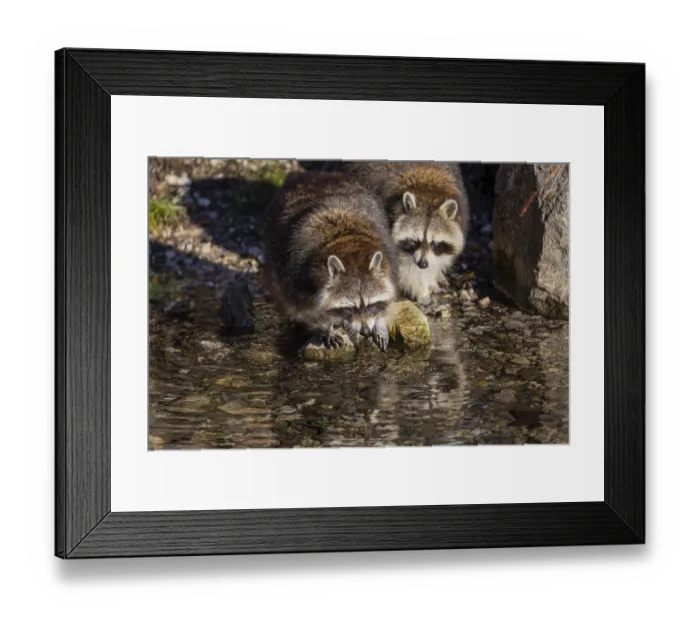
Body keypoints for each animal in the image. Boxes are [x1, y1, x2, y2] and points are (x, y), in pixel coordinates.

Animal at [264, 172, 397, 350]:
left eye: (371, 305)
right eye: (350, 308)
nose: (365, 331)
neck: (346, 242)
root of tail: (313, 175)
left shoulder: (388, 256)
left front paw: (380, 321)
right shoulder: (298, 277)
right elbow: (307, 309)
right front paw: (325, 326)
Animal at [343, 161, 469, 304]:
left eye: (435, 243)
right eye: (414, 241)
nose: (422, 264)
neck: (428, 191)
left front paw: (432, 273)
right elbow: (403, 267)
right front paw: (420, 289)